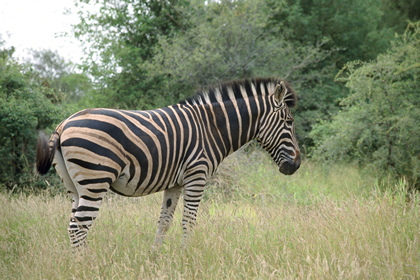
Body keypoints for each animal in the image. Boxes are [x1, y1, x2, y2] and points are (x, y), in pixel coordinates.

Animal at [35, 77, 298, 248]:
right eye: (289, 122)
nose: (295, 166)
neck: (213, 128)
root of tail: (64, 124)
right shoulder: (197, 175)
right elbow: (188, 221)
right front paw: (186, 256)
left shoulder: (175, 184)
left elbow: (164, 222)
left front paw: (156, 256)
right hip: (95, 180)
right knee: (78, 226)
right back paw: (85, 265)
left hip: (74, 186)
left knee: (74, 224)